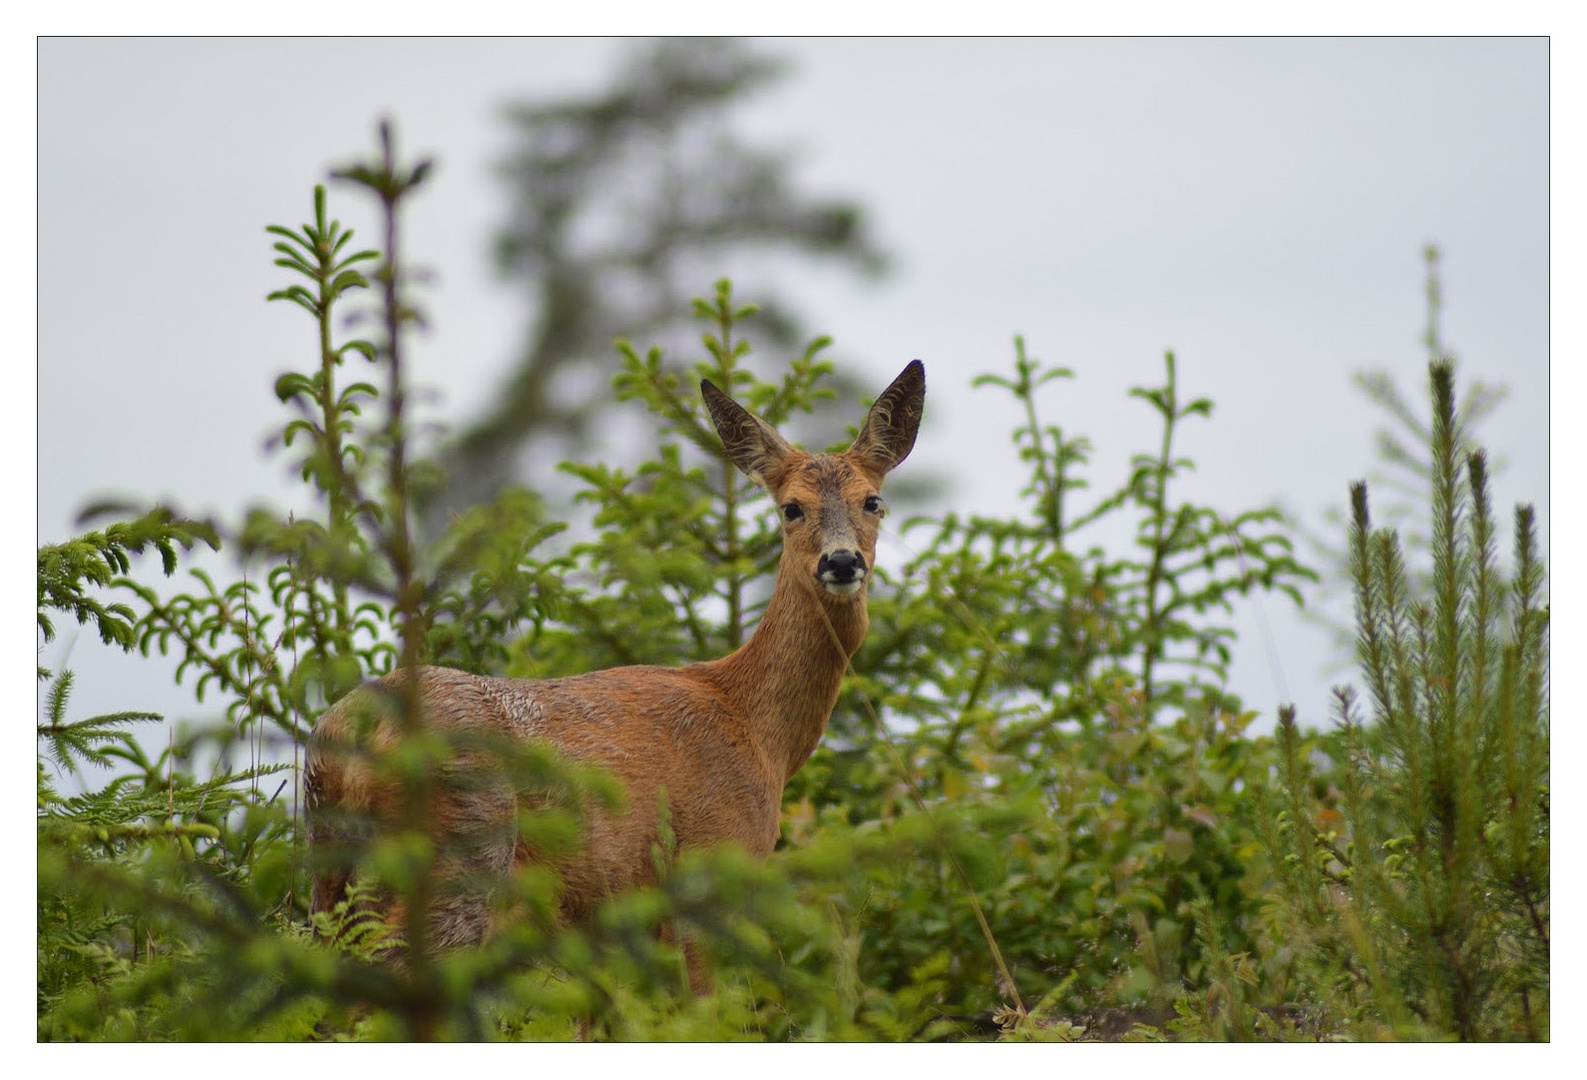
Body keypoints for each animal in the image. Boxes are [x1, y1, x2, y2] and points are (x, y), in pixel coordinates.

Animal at [303, 360, 926, 983]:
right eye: (790, 507)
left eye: (873, 501)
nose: (842, 561)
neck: (757, 729)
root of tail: (348, 738)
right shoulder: (706, 867)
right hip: (462, 852)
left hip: (330, 873)